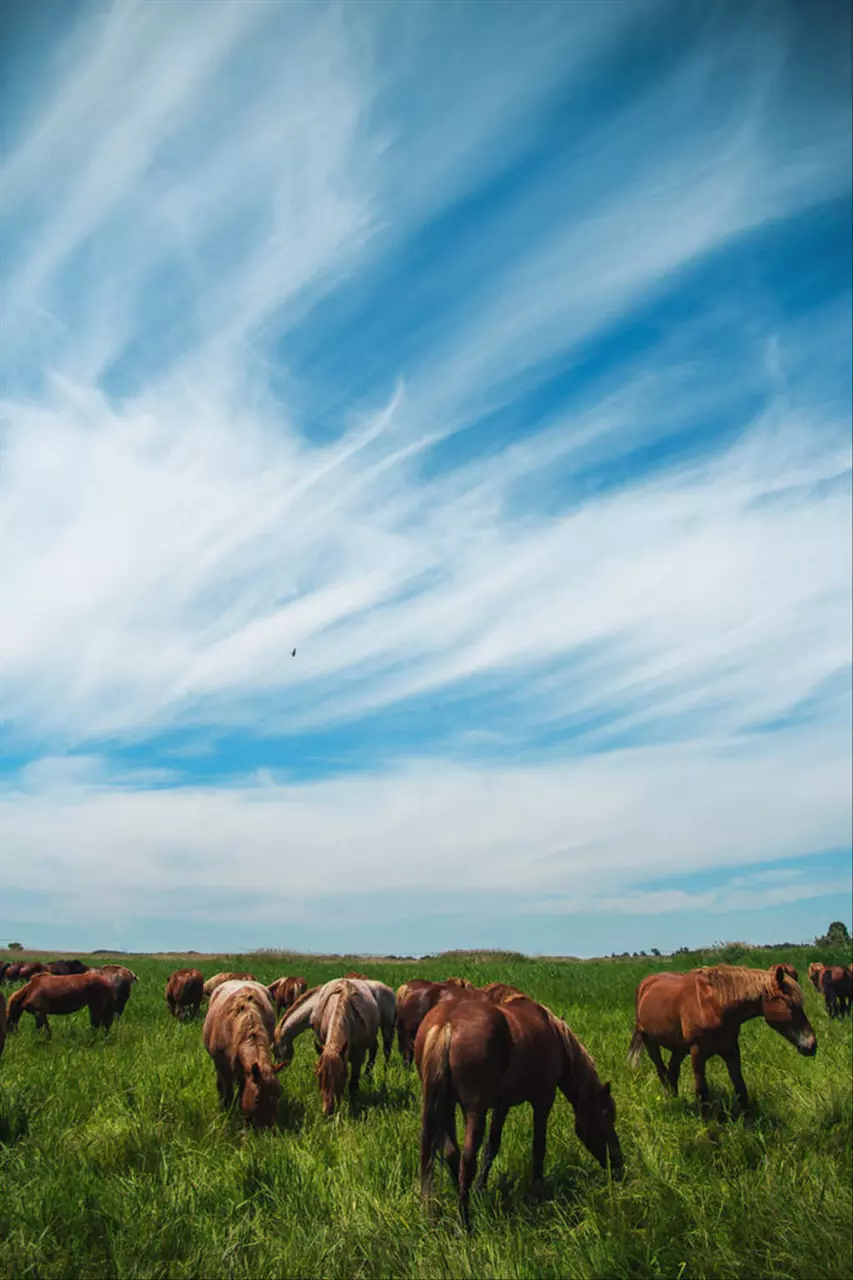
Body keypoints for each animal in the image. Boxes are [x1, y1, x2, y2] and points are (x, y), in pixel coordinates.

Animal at [201, 972, 280, 1126]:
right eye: (257, 1100)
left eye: (277, 1097)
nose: (270, 1127)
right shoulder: (223, 1069)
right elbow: (228, 1091)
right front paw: (226, 1110)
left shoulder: (246, 1072)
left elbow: (243, 1089)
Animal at [272, 977, 379, 1111]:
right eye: (318, 1074)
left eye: (274, 1051)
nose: (329, 1109)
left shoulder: (358, 1056)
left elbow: (353, 1083)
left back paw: (368, 1076)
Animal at [412, 983, 617, 1223]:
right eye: (606, 1116)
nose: (618, 1165)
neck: (555, 1036)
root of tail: (446, 1024)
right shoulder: (543, 1100)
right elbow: (538, 1147)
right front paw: (538, 1191)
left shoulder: (502, 1105)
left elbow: (492, 1147)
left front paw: (480, 1190)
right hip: (474, 1111)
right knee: (466, 1160)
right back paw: (464, 1222)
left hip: (444, 1105)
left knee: (451, 1153)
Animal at [627, 962, 814, 1111]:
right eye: (789, 1004)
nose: (812, 1045)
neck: (714, 1004)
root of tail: (645, 984)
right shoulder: (697, 1053)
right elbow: (702, 1093)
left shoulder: (731, 1050)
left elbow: (741, 1088)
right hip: (650, 1042)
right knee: (662, 1071)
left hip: (679, 1048)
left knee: (672, 1072)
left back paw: (676, 1100)